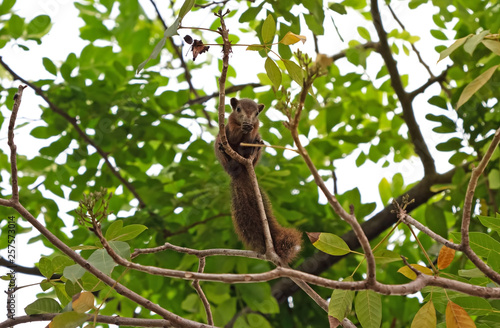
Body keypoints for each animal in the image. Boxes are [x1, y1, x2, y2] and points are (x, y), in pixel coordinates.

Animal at [214, 97, 300, 264]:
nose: (248, 120)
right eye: (238, 109)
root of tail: (240, 171)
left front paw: (249, 133)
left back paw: (250, 149)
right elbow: (233, 136)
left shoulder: (256, 127)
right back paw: (226, 154)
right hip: (222, 152)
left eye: (256, 113)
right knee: (224, 148)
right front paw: (241, 129)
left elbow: (251, 135)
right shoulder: (230, 124)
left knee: (254, 144)